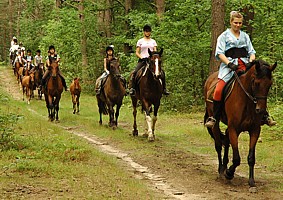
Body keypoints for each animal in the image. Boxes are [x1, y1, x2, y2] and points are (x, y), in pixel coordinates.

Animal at [204, 59, 278, 189]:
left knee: (226, 141)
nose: (261, 110)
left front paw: (251, 181)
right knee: (218, 145)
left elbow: (251, 157)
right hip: (216, 123)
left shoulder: (255, 130)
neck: (247, 102)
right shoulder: (234, 129)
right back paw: (221, 171)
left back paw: (224, 166)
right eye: (256, 83)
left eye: (270, 84)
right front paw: (229, 173)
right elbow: (237, 158)